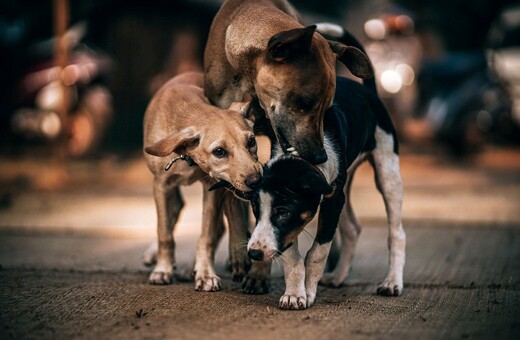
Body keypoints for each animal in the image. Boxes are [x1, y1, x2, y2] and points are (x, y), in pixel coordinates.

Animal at [142, 71, 262, 290]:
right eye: (219, 152)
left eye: (251, 141)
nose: (256, 180)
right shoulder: (161, 185)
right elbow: (164, 233)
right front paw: (163, 270)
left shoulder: (212, 187)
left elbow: (206, 236)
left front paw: (205, 273)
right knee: (175, 210)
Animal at [246, 25, 404, 310]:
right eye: (255, 210)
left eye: (282, 212)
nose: (254, 252)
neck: (303, 157)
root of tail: (370, 92)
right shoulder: (326, 202)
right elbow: (292, 256)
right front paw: (294, 293)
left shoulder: (332, 200)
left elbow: (317, 252)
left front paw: (307, 292)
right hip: (347, 183)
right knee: (352, 229)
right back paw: (339, 276)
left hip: (387, 172)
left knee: (396, 233)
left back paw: (392, 282)